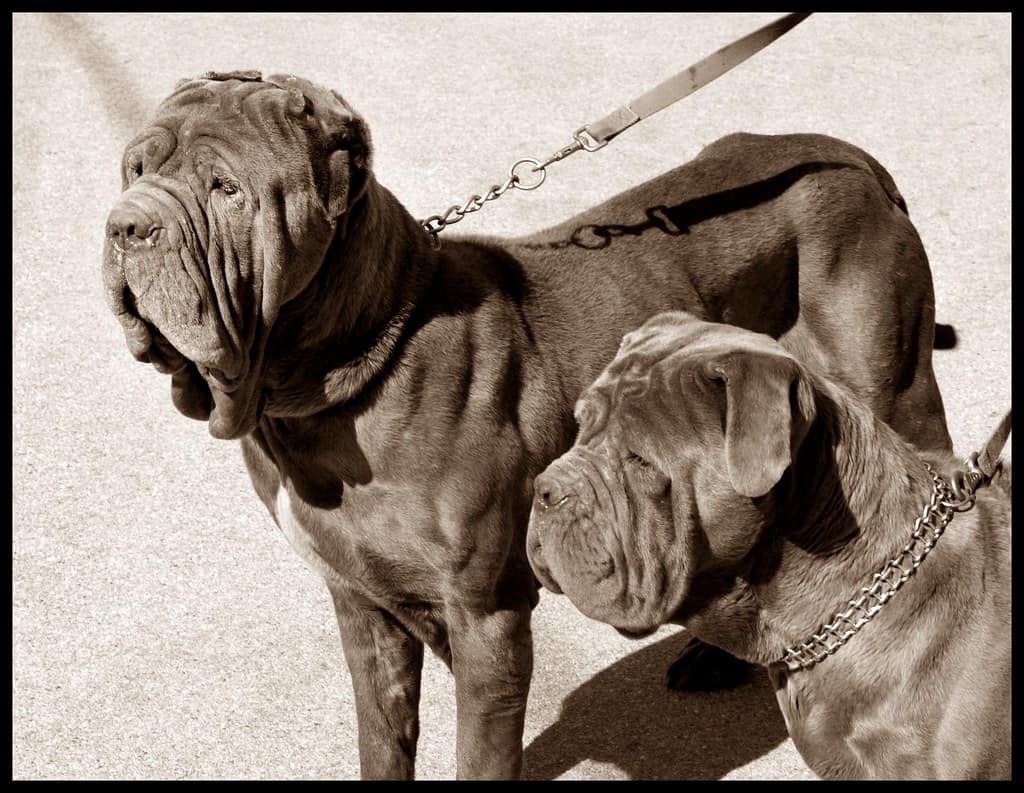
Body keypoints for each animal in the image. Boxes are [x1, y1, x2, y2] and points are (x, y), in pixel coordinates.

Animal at [99, 71, 954, 778]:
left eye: (225, 188)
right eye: (136, 170)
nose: (126, 226)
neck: (346, 370)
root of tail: (848, 158)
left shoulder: (487, 617)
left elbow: (480, 754)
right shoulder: (362, 603)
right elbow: (383, 736)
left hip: (896, 389)